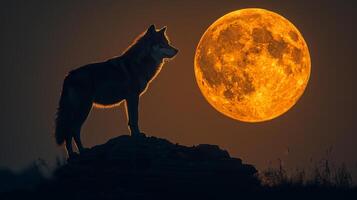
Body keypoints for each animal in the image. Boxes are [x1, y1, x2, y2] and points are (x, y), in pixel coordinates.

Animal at [54, 24, 178, 157]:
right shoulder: (133, 96)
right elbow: (135, 119)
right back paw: (80, 152)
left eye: (168, 43)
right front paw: (138, 136)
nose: (177, 50)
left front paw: (134, 135)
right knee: (73, 130)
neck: (140, 63)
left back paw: (74, 154)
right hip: (84, 109)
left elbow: (130, 120)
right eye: (162, 44)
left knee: (69, 131)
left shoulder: (128, 99)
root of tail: (68, 76)